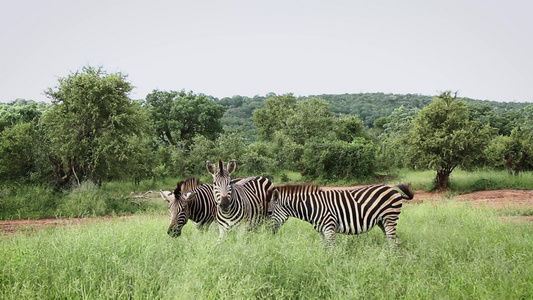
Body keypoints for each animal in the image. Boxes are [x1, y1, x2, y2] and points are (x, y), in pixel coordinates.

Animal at [268, 183, 414, 244]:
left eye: (269, 212)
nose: (268, 234)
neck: (313, 207)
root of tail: (394, 190)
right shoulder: (320, 231)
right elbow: (324, 247)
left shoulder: (329, 228)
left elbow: (331, 248)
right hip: (382, 221)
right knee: (395, 240)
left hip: (390, 217)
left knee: (392, 240)